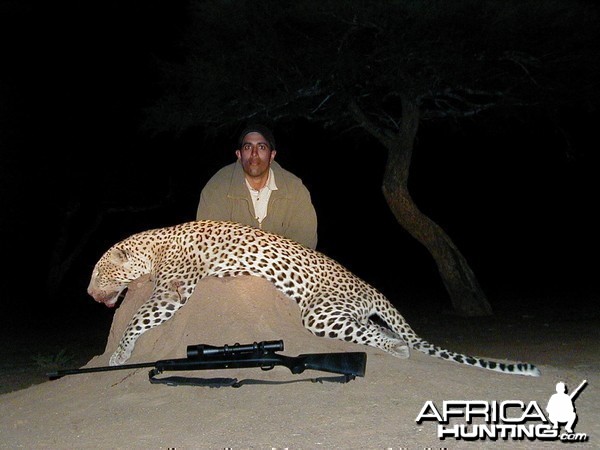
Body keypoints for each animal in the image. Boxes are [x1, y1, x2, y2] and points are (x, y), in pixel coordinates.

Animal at [86, 219, 540, 376]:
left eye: (98, 272)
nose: (89, 293)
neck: (153, 245)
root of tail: (368, 286)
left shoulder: (172, 292)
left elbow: (136, 320)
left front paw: (119, 355)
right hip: (343, 312)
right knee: (375, 328)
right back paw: (395, 343)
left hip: (319, 312)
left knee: (375, 335)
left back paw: (396, 348)